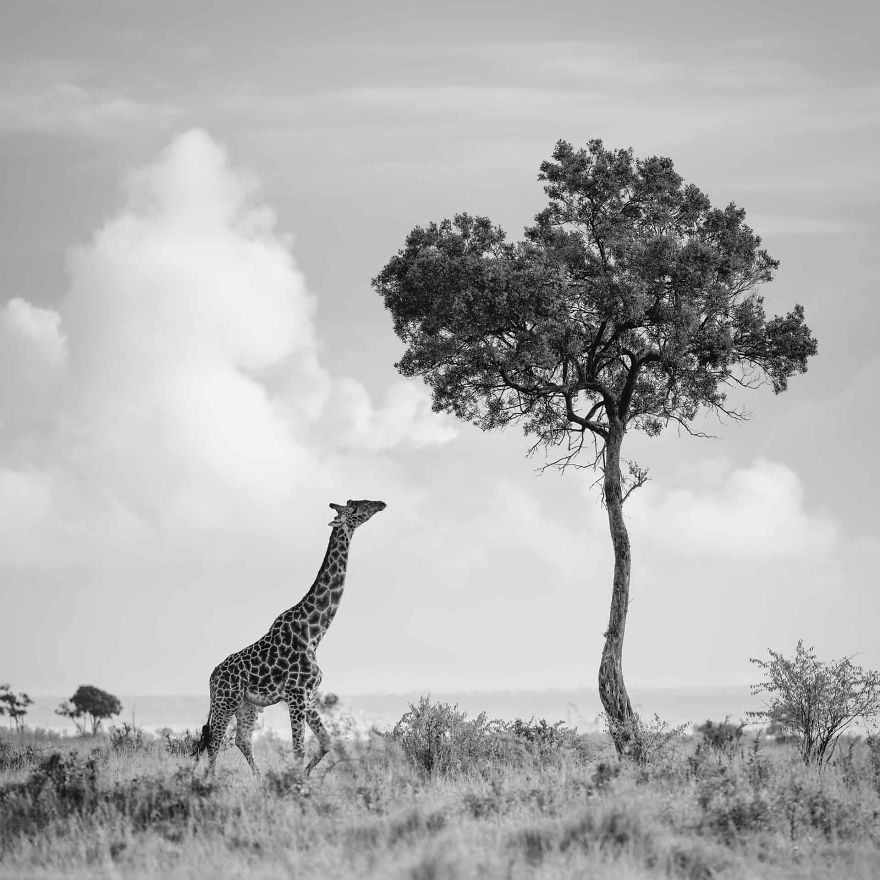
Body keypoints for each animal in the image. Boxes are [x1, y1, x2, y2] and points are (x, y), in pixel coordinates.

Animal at [192, 498, 386, 778]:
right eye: (356, 508)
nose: (381, 503)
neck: (314, 633)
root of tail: (211, 677)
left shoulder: (309, 695)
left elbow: (326, 741)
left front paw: (304, 776)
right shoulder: (296, 693)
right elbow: (298, 749)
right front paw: (296, 781)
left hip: (248, 705)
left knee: (241, 739)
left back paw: (259, 779)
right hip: (225, 700)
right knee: (215, 739)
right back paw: (210, 780)